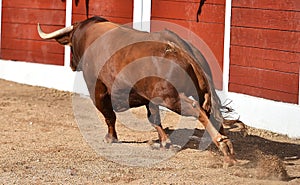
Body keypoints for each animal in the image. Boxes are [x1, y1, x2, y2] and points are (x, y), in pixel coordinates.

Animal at [38, 16, 237, 165]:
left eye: (71, 45)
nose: (72, 65)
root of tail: (179, 46)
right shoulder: (149, 98)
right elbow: (154, 119)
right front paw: (165, 142)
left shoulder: (98, 91)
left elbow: (109, 116)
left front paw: (110, 138)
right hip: (192, 93)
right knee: (213, 113)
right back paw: (229, 151)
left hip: (170, 97)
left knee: (197, 109)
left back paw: (223, 144)